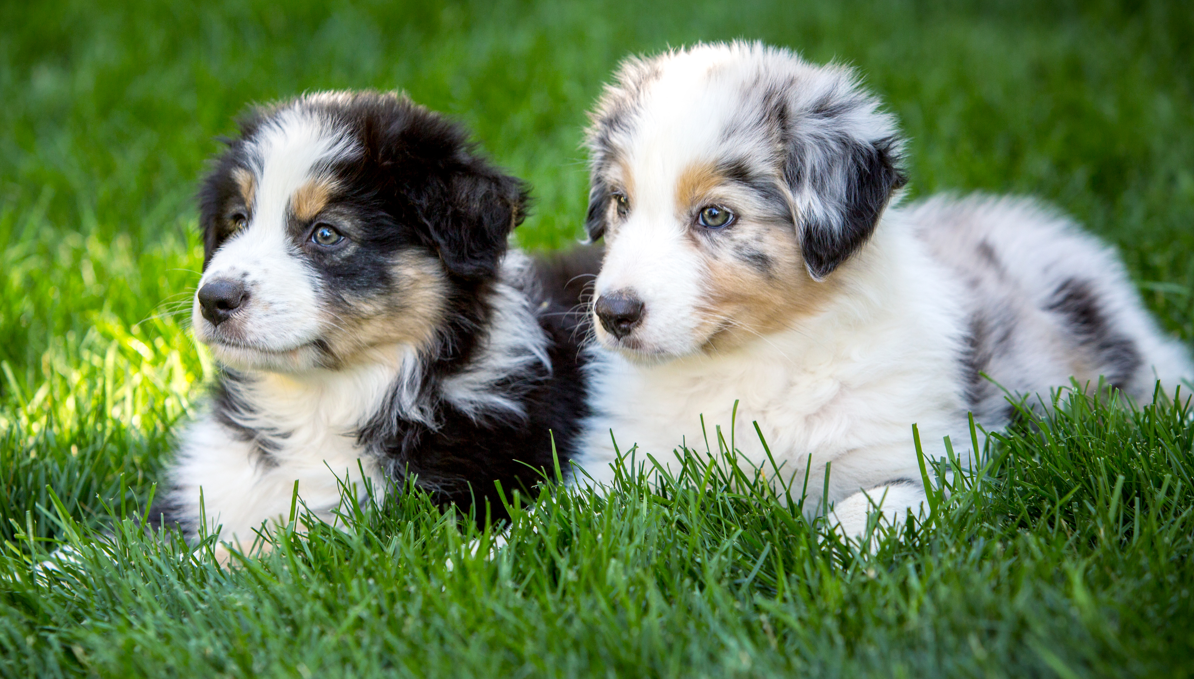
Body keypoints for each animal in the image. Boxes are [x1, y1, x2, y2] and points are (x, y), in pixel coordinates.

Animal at [573, 41, 1189, 534]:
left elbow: (860, 511)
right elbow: (578, 510)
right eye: (621, 202)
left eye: (715, 216)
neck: (756, 359)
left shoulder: (934, 456)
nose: (614, 313)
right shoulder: (624, 458)